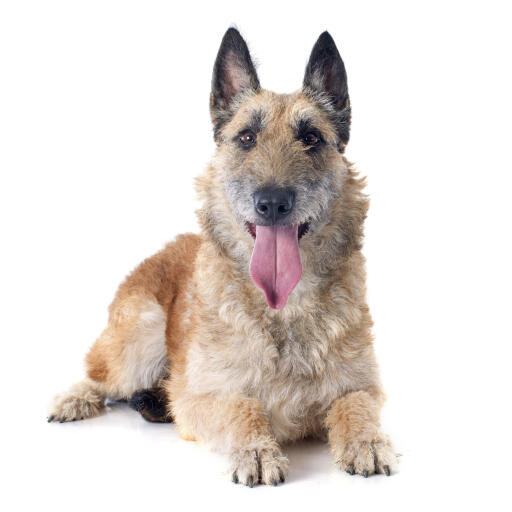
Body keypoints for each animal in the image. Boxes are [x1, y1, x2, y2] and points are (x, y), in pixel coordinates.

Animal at [49, 28, 400, 488]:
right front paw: (256, 449)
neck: (283, 311)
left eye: (311, 138)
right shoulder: (200, 397)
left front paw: (366, 441)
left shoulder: (361, 386)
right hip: (140, 335)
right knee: (100, 374)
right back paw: (75, 398)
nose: (272, 203)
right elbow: (241, 407)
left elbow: (354, 406)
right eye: (247, 138)